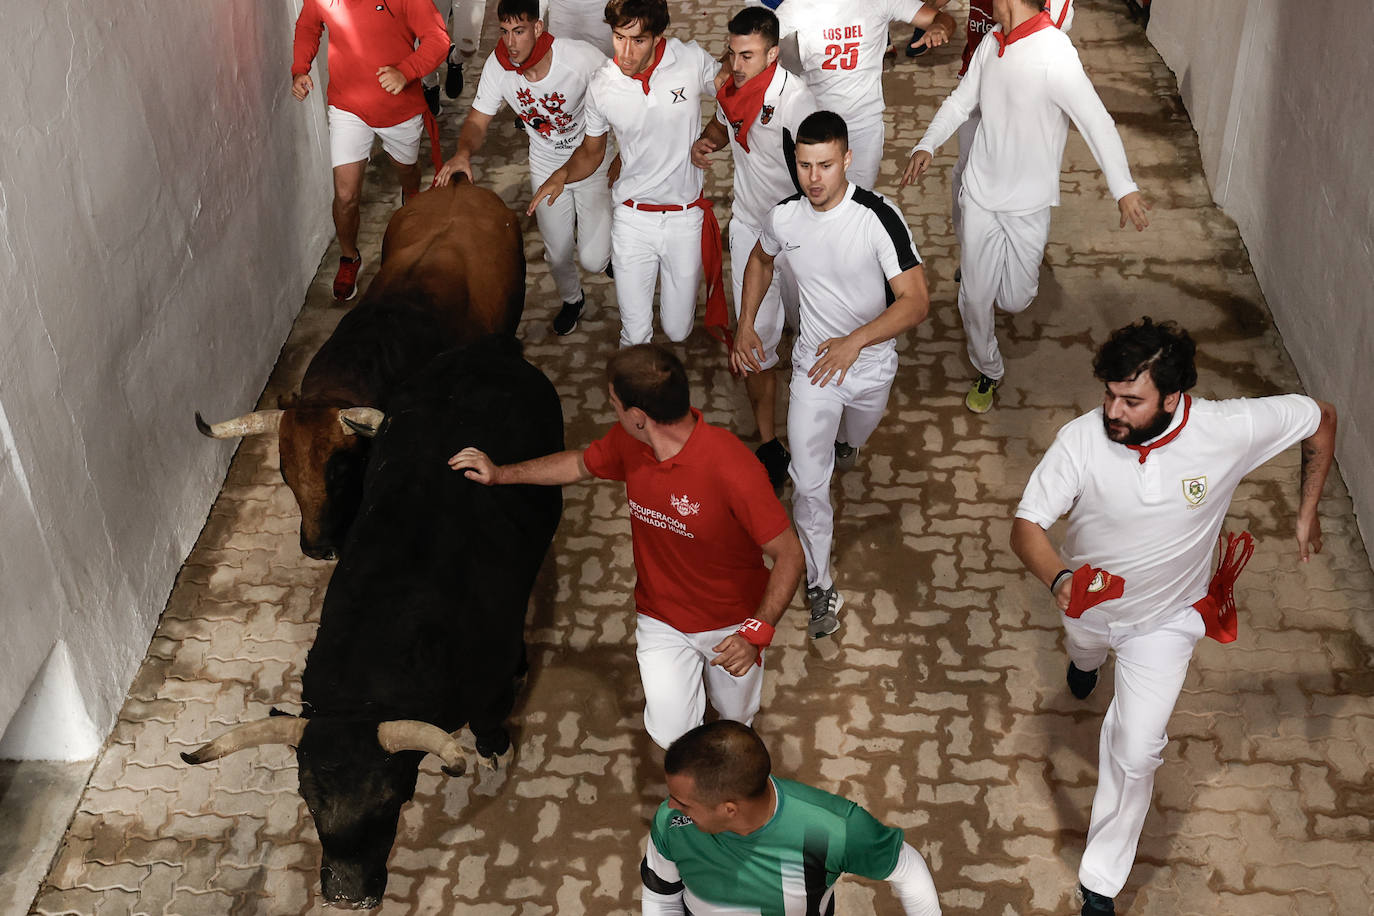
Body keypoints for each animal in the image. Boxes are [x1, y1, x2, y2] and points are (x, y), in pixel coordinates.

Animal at [185, 341, 560, 911]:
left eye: (391, 796)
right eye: (306, 795)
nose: (346, 894)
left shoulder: (488, 688)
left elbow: (491, 721)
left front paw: (496, 750)